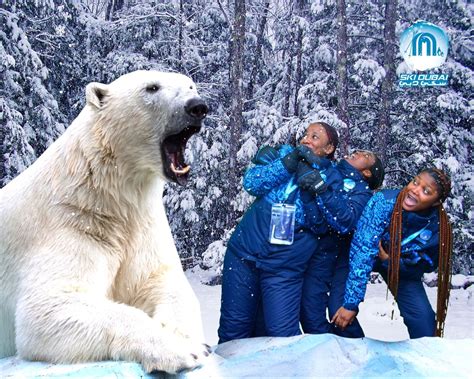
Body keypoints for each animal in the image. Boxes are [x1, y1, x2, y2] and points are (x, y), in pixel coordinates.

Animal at [0, 70, 211, 374]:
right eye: (152, 88)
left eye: (191, 85)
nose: (197, 106)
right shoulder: (72, 225)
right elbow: (49, 306)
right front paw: (178, 350)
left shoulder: (142, 226)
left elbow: (162, 281)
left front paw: (189, 339)